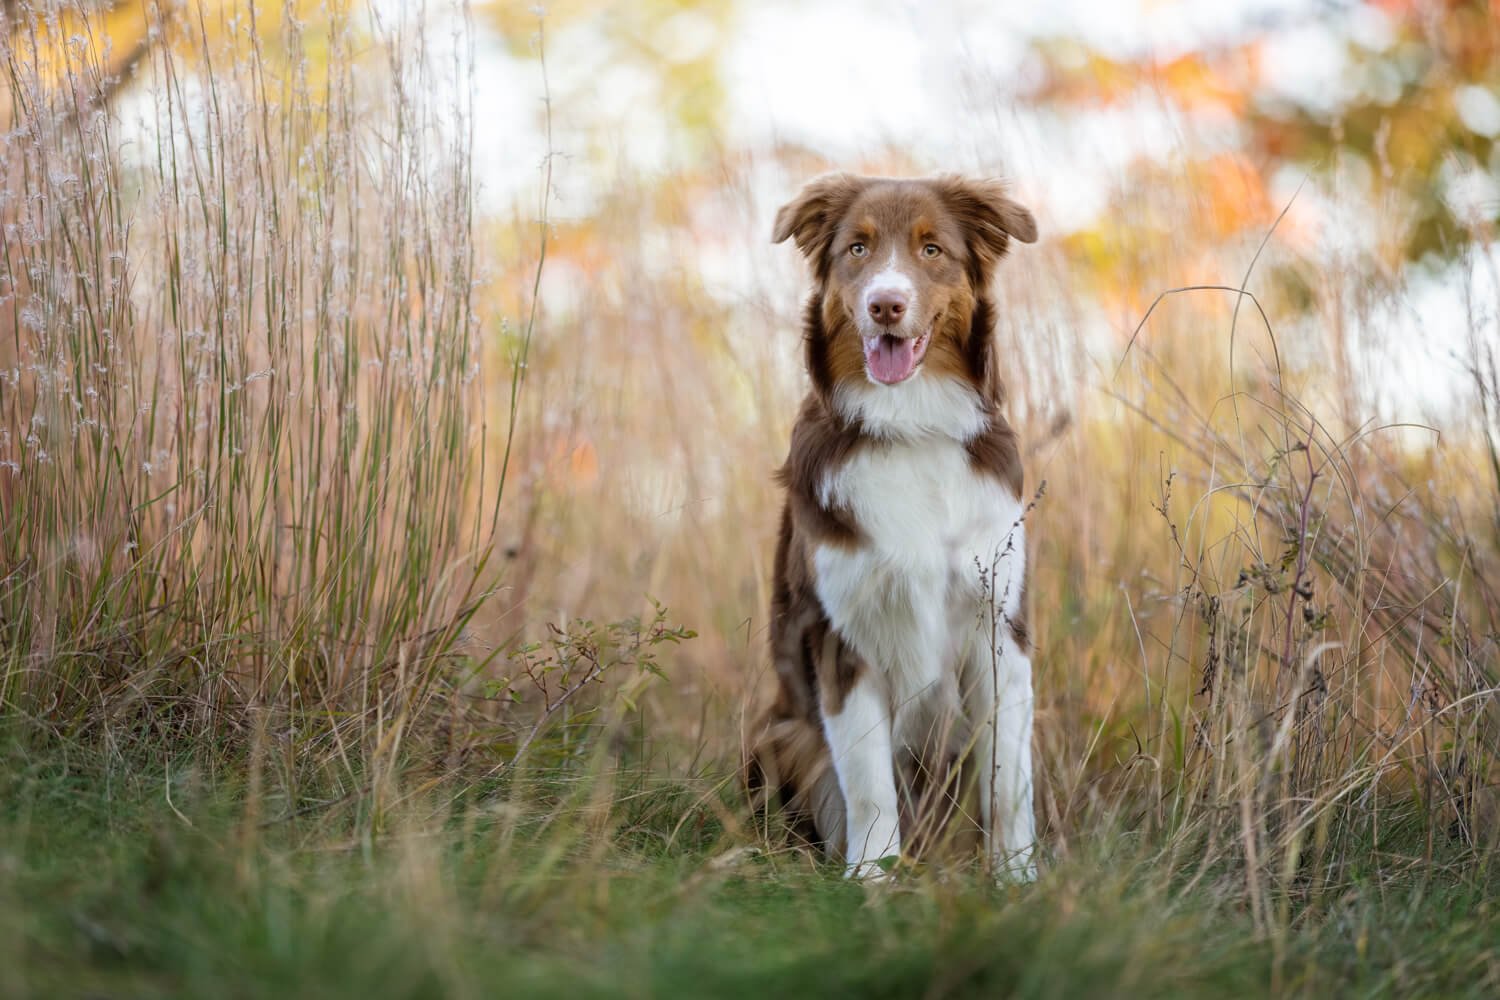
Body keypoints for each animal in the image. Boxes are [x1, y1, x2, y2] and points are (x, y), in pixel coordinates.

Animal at [750, 176, 1044, 881]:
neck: (910, 425)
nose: (886, 304)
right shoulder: (841, 635)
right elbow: (867, 778)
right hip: (779, 731)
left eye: (931, 249)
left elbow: (1008, 775)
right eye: (857, 249)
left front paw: (1016, 875)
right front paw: (871, 874)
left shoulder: (999, 624)